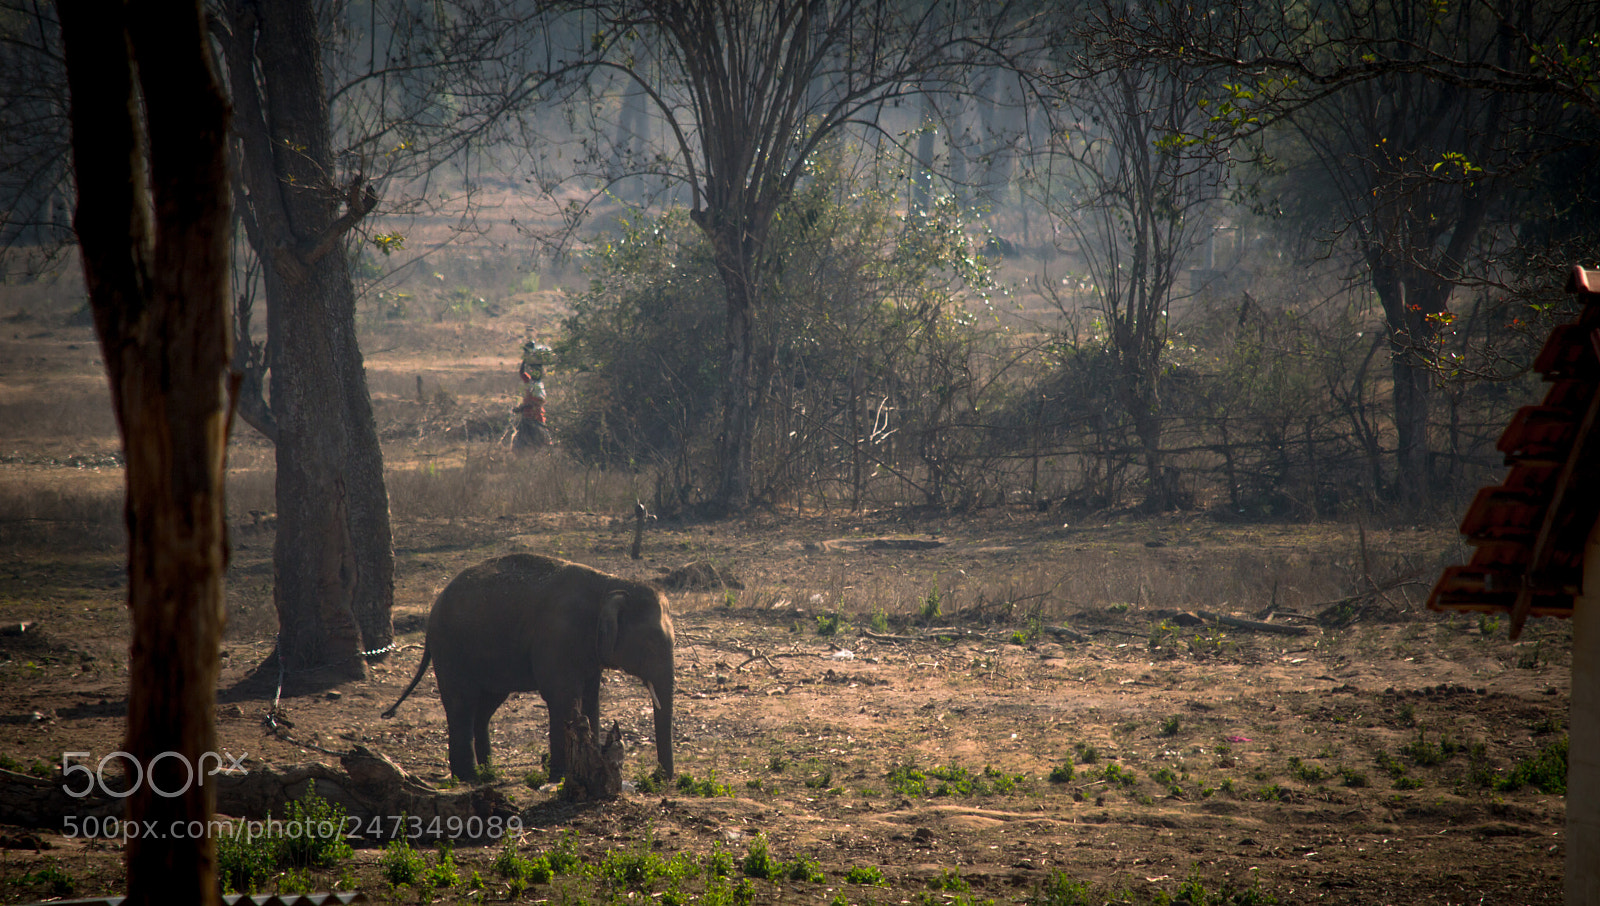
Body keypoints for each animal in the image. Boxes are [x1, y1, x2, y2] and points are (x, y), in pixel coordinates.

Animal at [382, 553, 674, 783]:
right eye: (651, 644)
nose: (660, 777)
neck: (610, 584)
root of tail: (434, 609)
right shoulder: (557, 636)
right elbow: (563, 697)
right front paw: (560, 776)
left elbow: (591, 698)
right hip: (451, 649)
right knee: (461, 704)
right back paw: (469, 778)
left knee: (485, 707)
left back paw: (489, 773)